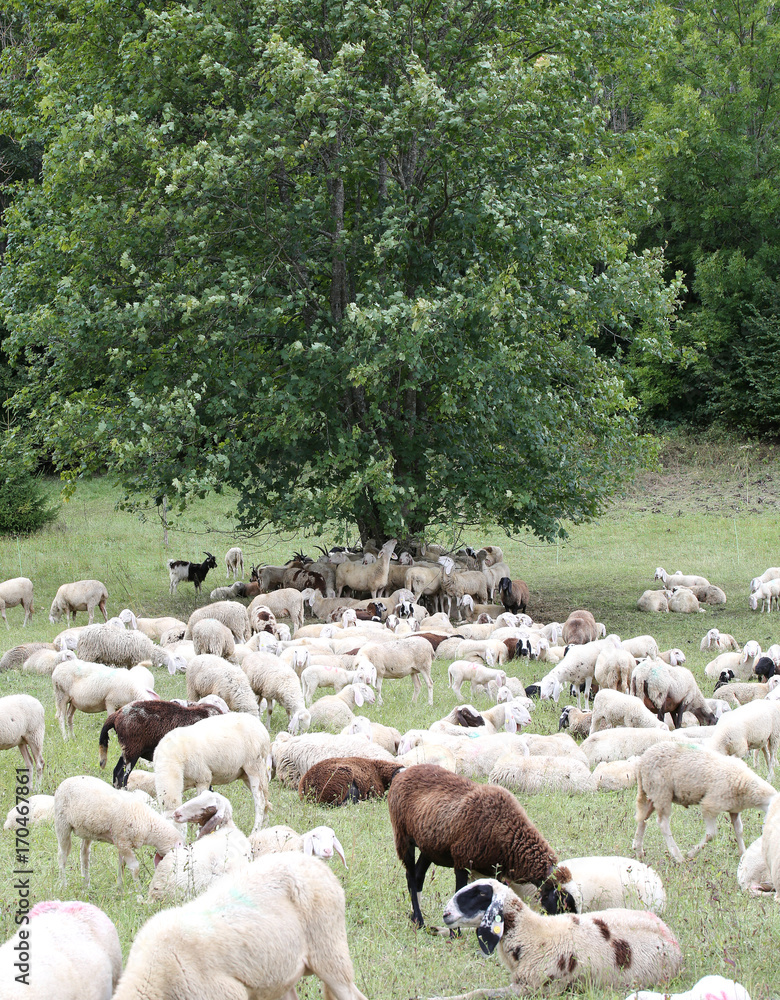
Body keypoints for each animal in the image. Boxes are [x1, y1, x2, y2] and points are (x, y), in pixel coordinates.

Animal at [387, 763, 575, 927]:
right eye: (560, 898)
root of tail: (403, 772)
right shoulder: (462, 861)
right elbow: (458, 892)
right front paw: (455, 934)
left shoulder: (495, 872)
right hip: (403, 838)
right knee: (411, 877)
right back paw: (419, 920)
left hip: (430, 845)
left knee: (419, 876)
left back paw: (416, 919)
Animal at [429, 878, 682, 998]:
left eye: (481, 893)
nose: (446, 914)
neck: (532, 934)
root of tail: (670, 934)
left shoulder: (535, 989)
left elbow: (478, 993)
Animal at [632, 741, 778, 862]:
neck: (745, 783)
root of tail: (642, 761)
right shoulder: (710, 805)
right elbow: (711, 834)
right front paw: (692, 853)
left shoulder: (734, 809)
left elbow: (739, 830)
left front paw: (743, 854)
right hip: (662, 791)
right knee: (662, 823)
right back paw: (678, 857)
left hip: (653, 792)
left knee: (644, 817)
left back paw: (638, 850)